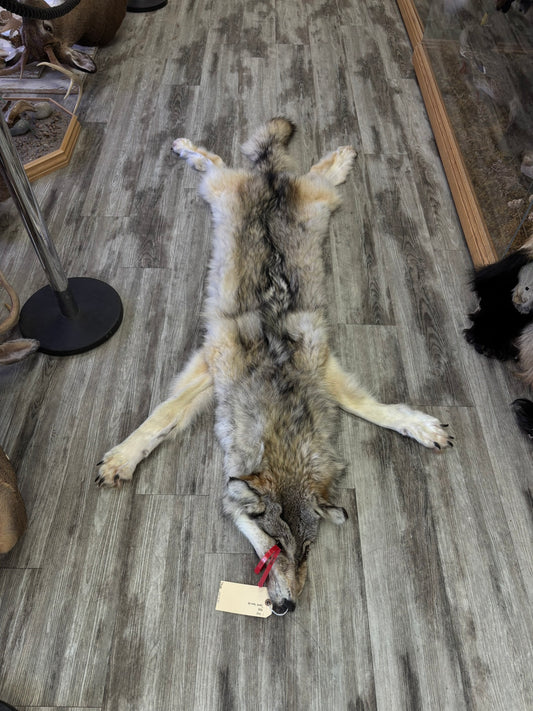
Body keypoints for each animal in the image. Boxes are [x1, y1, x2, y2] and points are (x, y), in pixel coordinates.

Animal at [96, 118, 452, 614]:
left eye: (307, 549)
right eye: (275, 543)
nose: (288, 608)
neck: (280, 400)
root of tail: (269, 179)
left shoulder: (321, 364)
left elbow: (371, 407)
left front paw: (419, 427)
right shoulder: (214, 361)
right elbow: (162, 416)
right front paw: (123, 459)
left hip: (316, 200)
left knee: (306, 170)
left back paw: (340, 158)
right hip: (220, 190)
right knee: (218, 160)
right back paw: (188, 149)